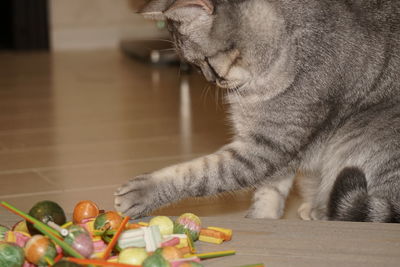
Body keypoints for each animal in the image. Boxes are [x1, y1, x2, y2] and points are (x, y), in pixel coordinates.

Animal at [113, 0, 400, 223]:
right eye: (195, 66)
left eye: (205, 62)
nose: (210, 79)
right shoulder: (277, 150)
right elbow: (268, 192)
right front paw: (261, 219)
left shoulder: (269, 145)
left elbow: (201, 173)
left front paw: (141, 193)